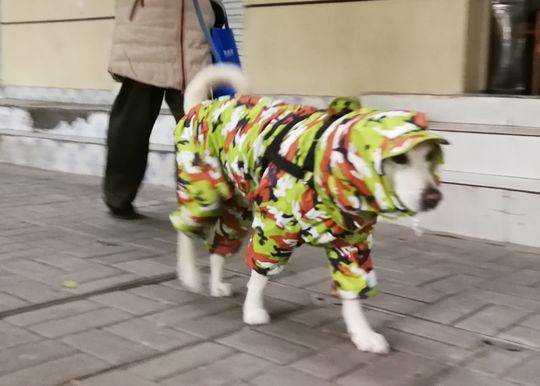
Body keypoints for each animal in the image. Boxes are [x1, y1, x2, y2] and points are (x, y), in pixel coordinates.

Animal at [170, 65, 448, 354]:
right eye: (400, 158)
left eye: (430, 157)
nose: (433, 197)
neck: (324, 164)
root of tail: (199, 106)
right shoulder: (273, 230)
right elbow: (259, 273)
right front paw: (253, 309)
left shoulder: (351, 247)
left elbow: (352, 294)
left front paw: (362, 334)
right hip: (203, 194)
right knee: (183, 228)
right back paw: (189, 274)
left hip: (238, 210)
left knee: (218, 245)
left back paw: (215, 284)